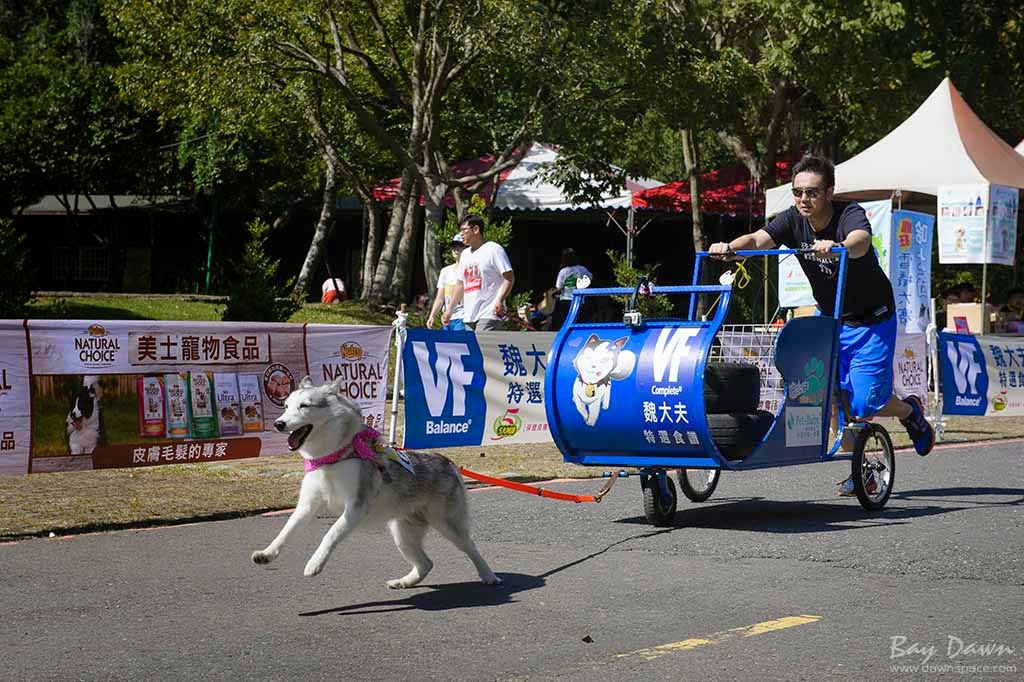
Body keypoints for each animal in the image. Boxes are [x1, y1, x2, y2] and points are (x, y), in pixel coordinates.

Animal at [251, 374, 499, 585]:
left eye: (304, 406)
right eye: (285, 407)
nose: (279, 424)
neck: (333, 456)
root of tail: (449, 462)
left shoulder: (356, 506)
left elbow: (330, 535)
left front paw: (314, 563)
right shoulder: (307, 505)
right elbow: (285, 531)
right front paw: (267, 553)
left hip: (448, 526)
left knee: (471, 548)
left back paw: (489, 576)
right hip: (402, 535)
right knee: (426, 564)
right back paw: (404, 582)